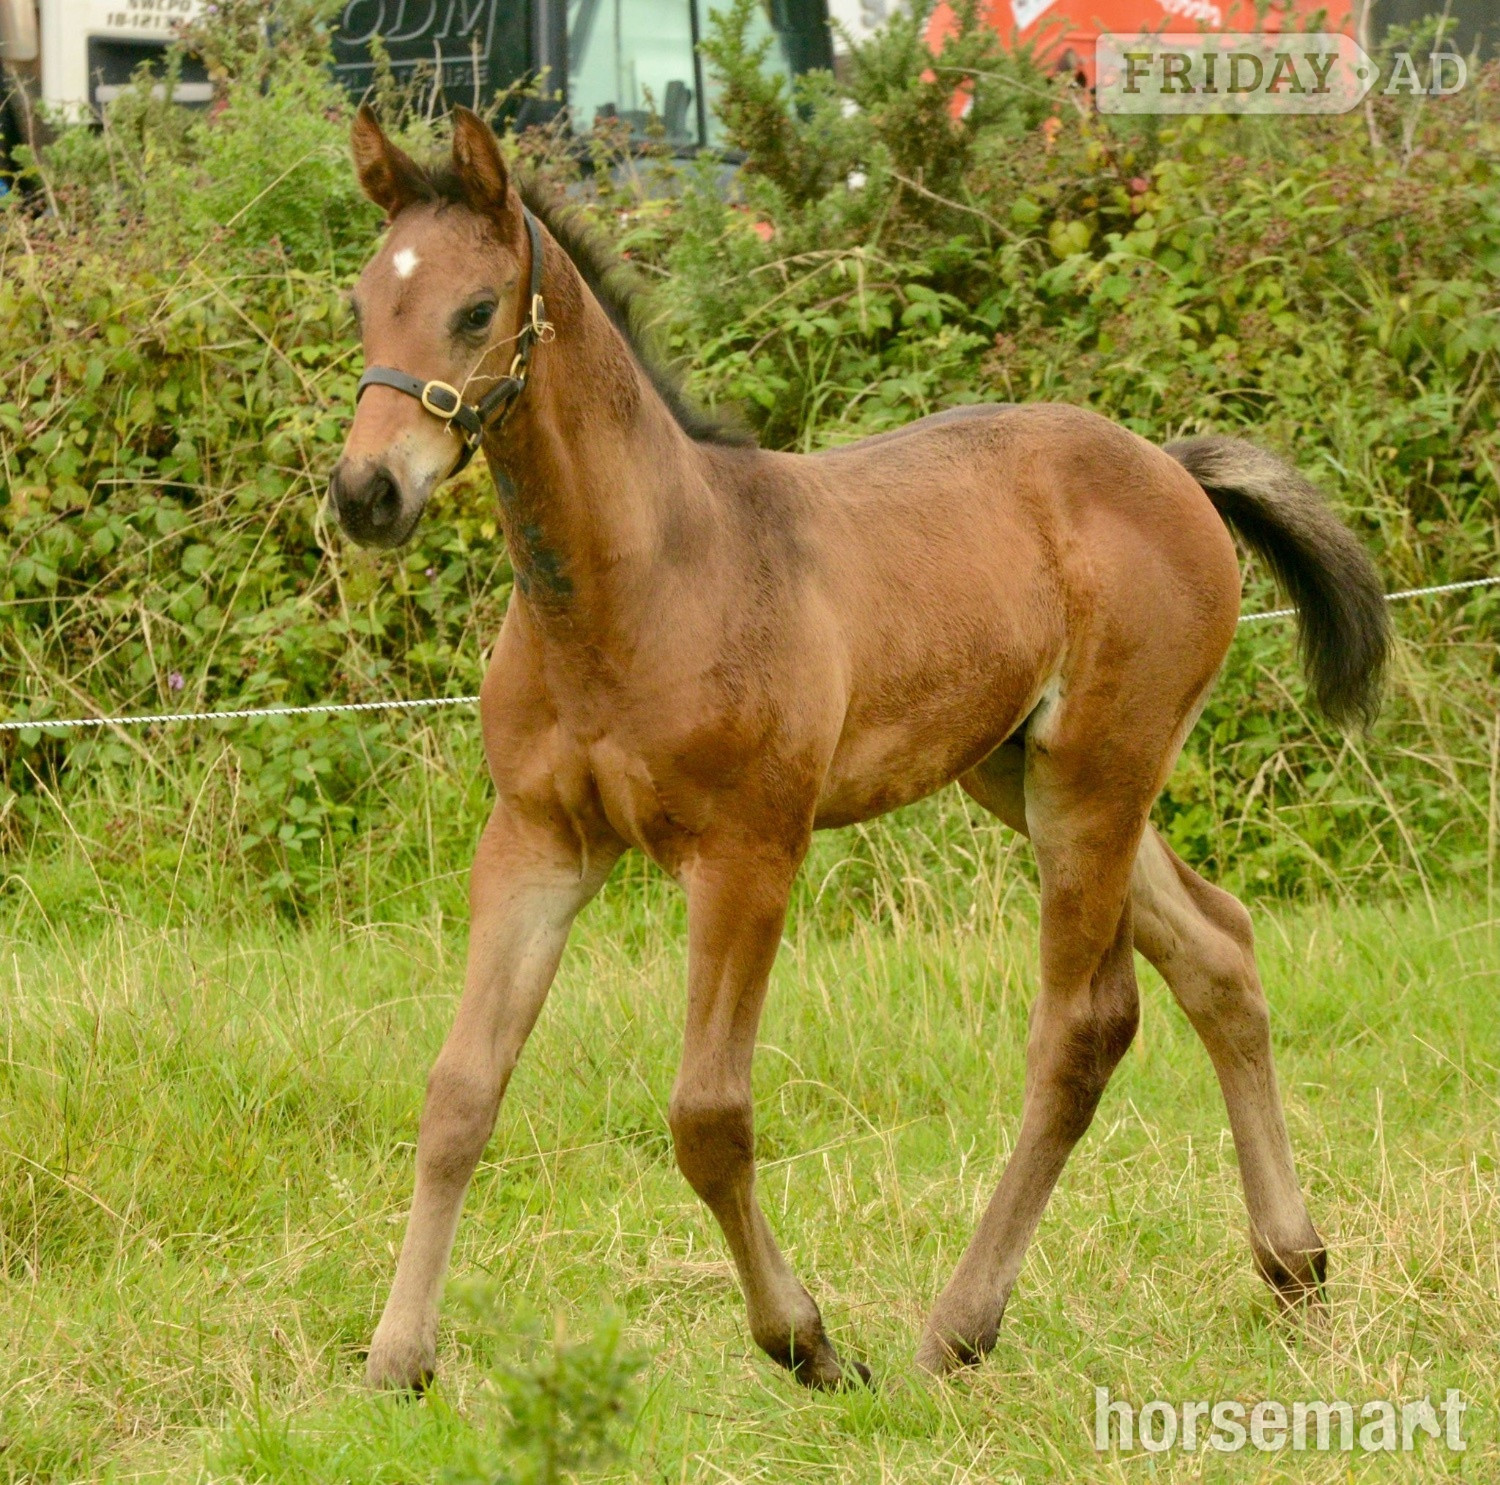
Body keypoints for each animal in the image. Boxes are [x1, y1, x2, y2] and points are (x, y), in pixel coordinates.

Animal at [330, 105, 1388, 1391]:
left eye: (477, 310)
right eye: (362, 305)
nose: (366, 493)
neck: (641, 583)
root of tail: (1171, 468)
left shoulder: (749, 853)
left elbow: (708, 1115)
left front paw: (804, 1343)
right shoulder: (536, 841)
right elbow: (458, 1094)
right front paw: (397, 1360)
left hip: (1098, 776)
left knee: (1084, 1027)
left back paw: (959, 1328)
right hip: (1029, 777)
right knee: (1220, 954)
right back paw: (1294, 1270)